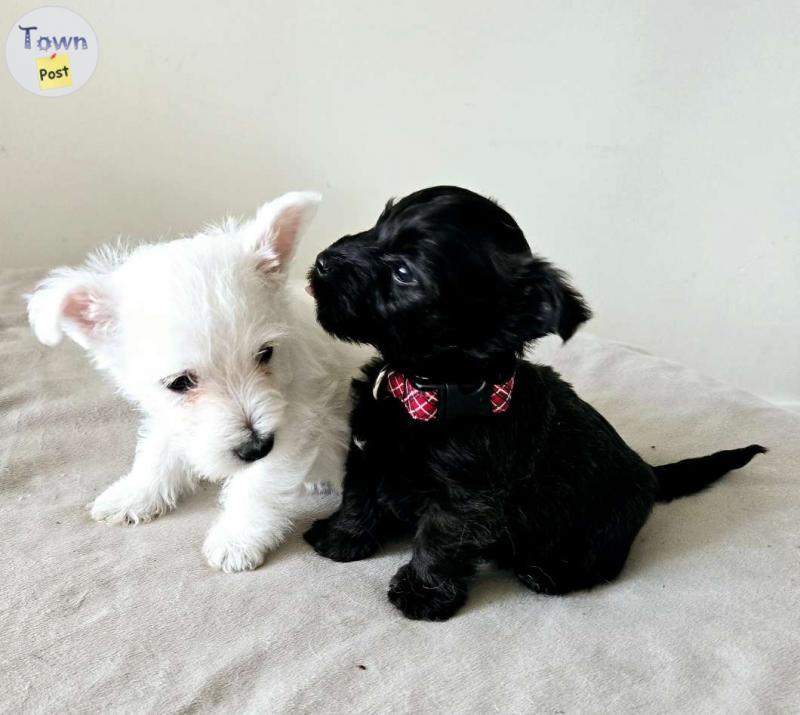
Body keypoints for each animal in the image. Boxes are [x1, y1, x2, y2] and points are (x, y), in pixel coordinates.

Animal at [27, 193, 360, 572]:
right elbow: (157, 453)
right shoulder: (174, 417)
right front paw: (134, 493)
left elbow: (257, 484)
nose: (256, 448)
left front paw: (237, 538)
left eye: (265, 353)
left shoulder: (296, 423)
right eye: (180, 382)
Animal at [304, 186, 764, 620]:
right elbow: (358, 496)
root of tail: (649, 471)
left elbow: (440, 538)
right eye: (377, 225)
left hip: (603, 529)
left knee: (602, 563)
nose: (324, 259)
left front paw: (422, 593)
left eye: (402, 272)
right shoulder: (366, 451)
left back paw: (550, 572)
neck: (424, 391)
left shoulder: (467, 496)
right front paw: (340, 539)